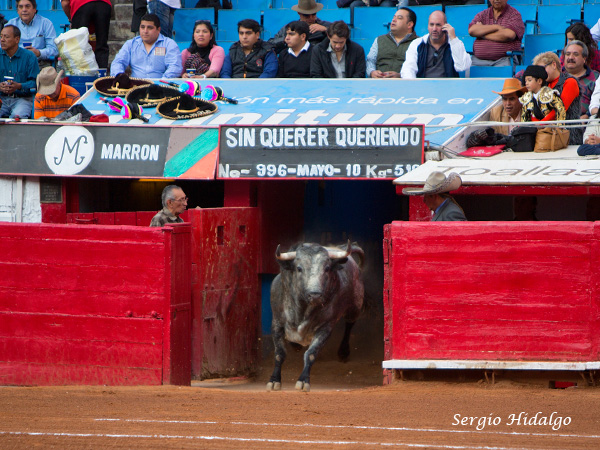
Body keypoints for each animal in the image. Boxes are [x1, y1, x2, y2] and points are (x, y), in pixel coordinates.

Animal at [268, 241, 366, 392]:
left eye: (327, 268)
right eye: (299, 268)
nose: (315, 294)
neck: (301, 310)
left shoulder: (325, 328)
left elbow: (311, 354)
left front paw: (303, 381)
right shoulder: (277, 323)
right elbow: (279, 353)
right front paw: (274, 380)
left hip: (355, 307)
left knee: (349, 324)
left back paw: (343, 352)